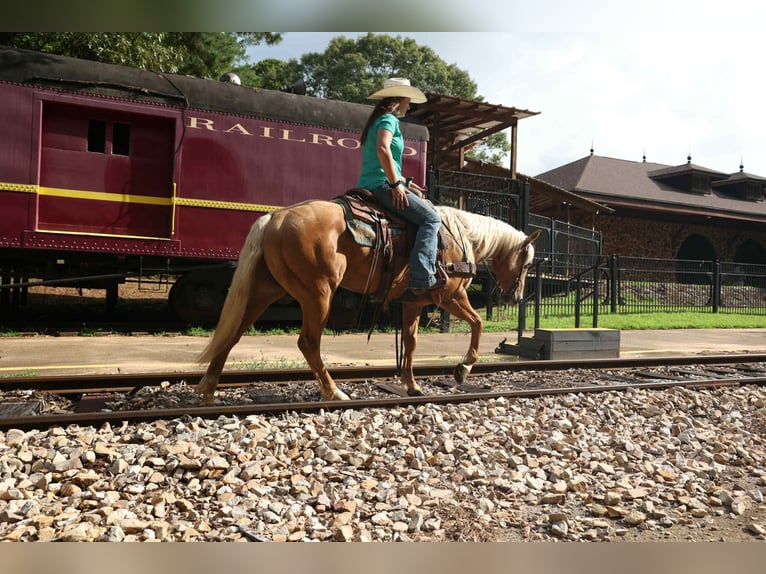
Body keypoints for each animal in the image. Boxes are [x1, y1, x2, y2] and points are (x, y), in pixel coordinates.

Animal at [195, 198, 541, 404]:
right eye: (527, 263)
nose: (515, 296)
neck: (462, 237)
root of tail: (274, 219)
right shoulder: (450, 295)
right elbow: (478, 323)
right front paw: (463, 368)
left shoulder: (413, 303)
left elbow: (411, 344)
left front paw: (412, 385)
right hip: (318, 294)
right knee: (308, 343)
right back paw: (334, 391)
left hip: (266, 291)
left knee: (233, 333)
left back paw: (209, 390)